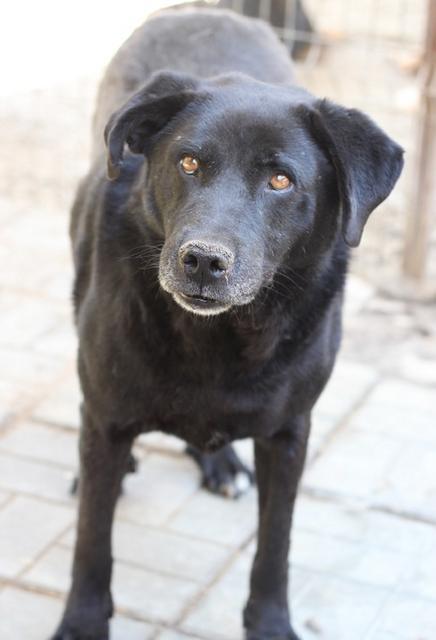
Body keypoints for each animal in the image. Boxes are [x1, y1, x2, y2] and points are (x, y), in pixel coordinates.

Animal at [52, 6, 406, 640]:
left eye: (281, 180)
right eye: (189, 162)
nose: (202, 260)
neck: (220, 337)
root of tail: (200, 10)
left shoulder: (290, 433)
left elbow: (275, 546)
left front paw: (269, 625)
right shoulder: (110, 418)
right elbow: (92, 540)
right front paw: (82, 622)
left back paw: (220, 462)